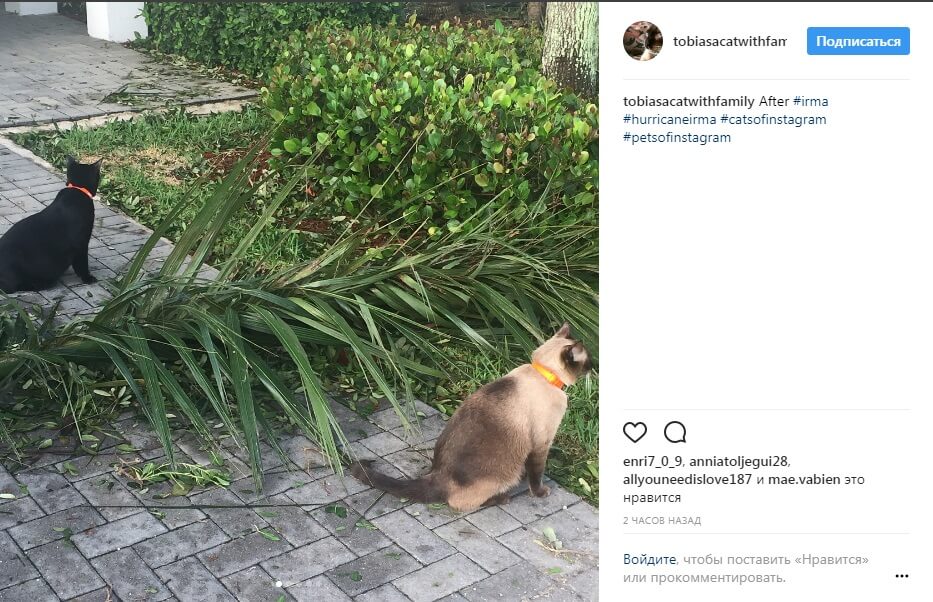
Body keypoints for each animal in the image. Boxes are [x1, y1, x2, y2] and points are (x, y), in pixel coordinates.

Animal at [351, 322, 593, 512]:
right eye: (589, 360)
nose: (595, 366)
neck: (544, 374)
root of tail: (437, 474)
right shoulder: (542, 443)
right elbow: (536, 472)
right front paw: (540, 492)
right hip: (499, 477)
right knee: (458, 503)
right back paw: (501, 498)